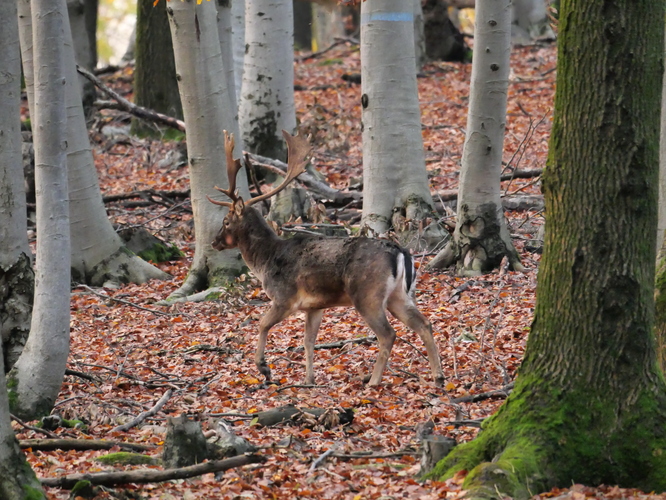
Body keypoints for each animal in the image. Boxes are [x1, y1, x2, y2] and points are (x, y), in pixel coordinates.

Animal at [208, 129, 444, 386]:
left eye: (226, 222)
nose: (214, 241)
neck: (266, 260)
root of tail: (401, 253)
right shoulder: (314, 306)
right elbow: (308, 341)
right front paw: (308, 379)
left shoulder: (284, 297)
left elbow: (262, 324)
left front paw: (264, 368)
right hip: (399, 295)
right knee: (424, 323)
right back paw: (438, 376)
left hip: (367, 294)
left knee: (388, 334)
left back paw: (373, 381)